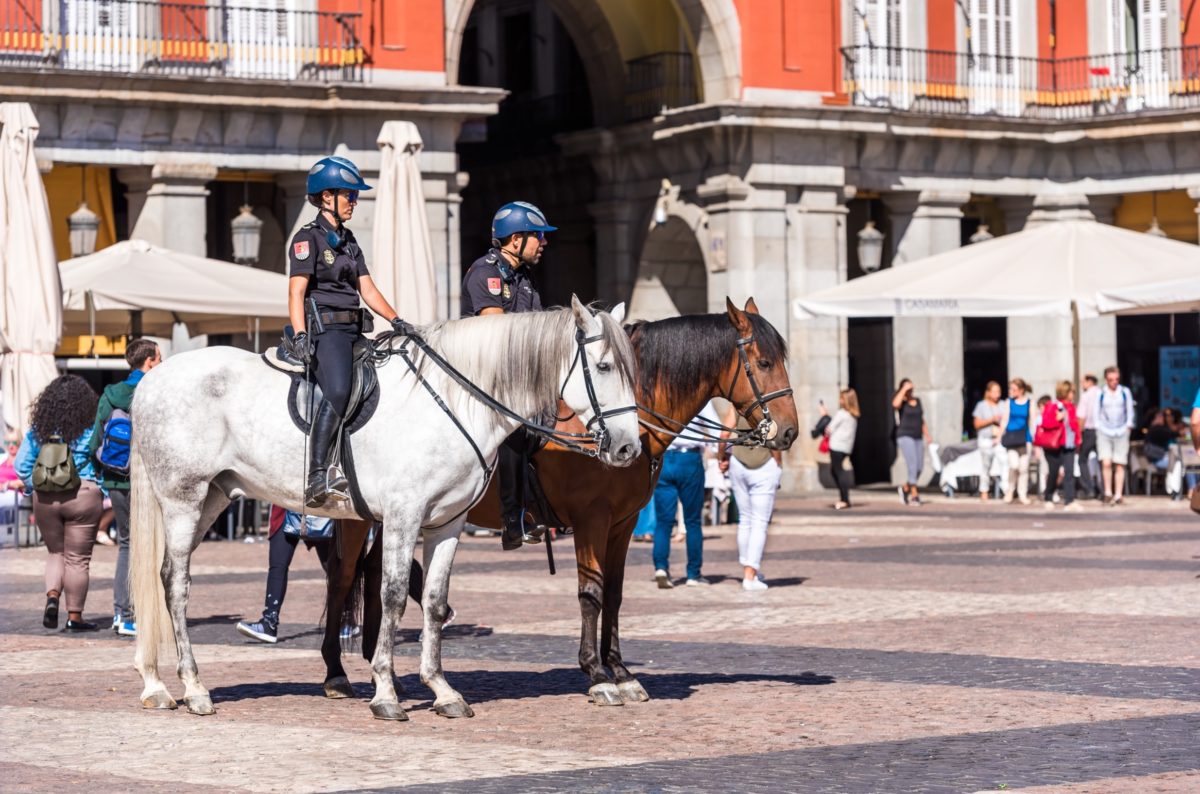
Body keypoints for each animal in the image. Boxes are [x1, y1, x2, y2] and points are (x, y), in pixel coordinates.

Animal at [126, 297, 643, 719]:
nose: (627, 448)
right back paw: (193, 687)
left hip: (213, 499)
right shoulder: (402, 516)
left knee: (164, 577)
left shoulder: (447, 523)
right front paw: (386, 693)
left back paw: (156, 685)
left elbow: (433, 601)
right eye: (602, 367)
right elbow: (392, 596)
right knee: (175, 584)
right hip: (184, 499)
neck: (454, 400)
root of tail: (152, 379)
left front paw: (442, 690)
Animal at [319, 298, 796, 714]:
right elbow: (591, 593)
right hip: (361, 519)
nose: (789, 431)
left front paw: (621, 671)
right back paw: (337, 673)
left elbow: (615, 595)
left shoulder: (623, 524)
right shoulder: (592, 519)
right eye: (764, 363)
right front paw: (598, 675)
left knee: (373, 577)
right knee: (342, 580)